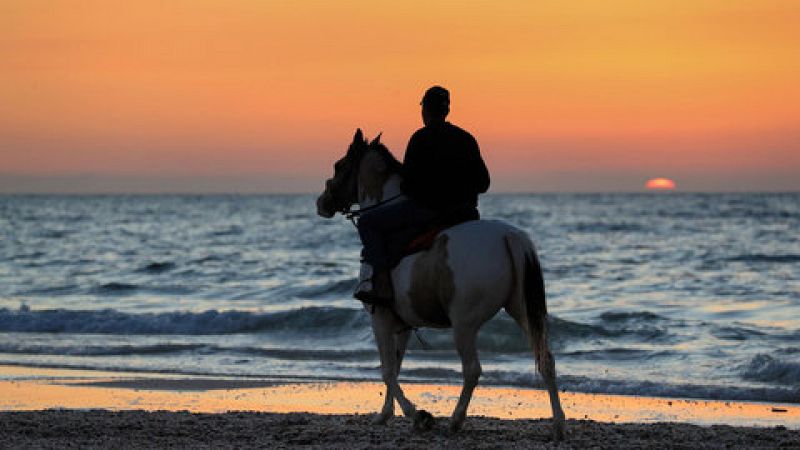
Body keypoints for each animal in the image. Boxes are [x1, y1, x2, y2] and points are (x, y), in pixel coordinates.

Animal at [316, 129, 564, 440]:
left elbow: (387, 371)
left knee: (472, 370)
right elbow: (395, 366)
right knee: (546, 361)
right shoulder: (402, 324)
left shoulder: (380, 318)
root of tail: (508, 236)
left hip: (464, 323)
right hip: (521, 311)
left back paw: (455, 421)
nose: (321, 202)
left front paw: (417, 415)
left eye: (339, 166)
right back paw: (559, 425)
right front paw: (385, 415)